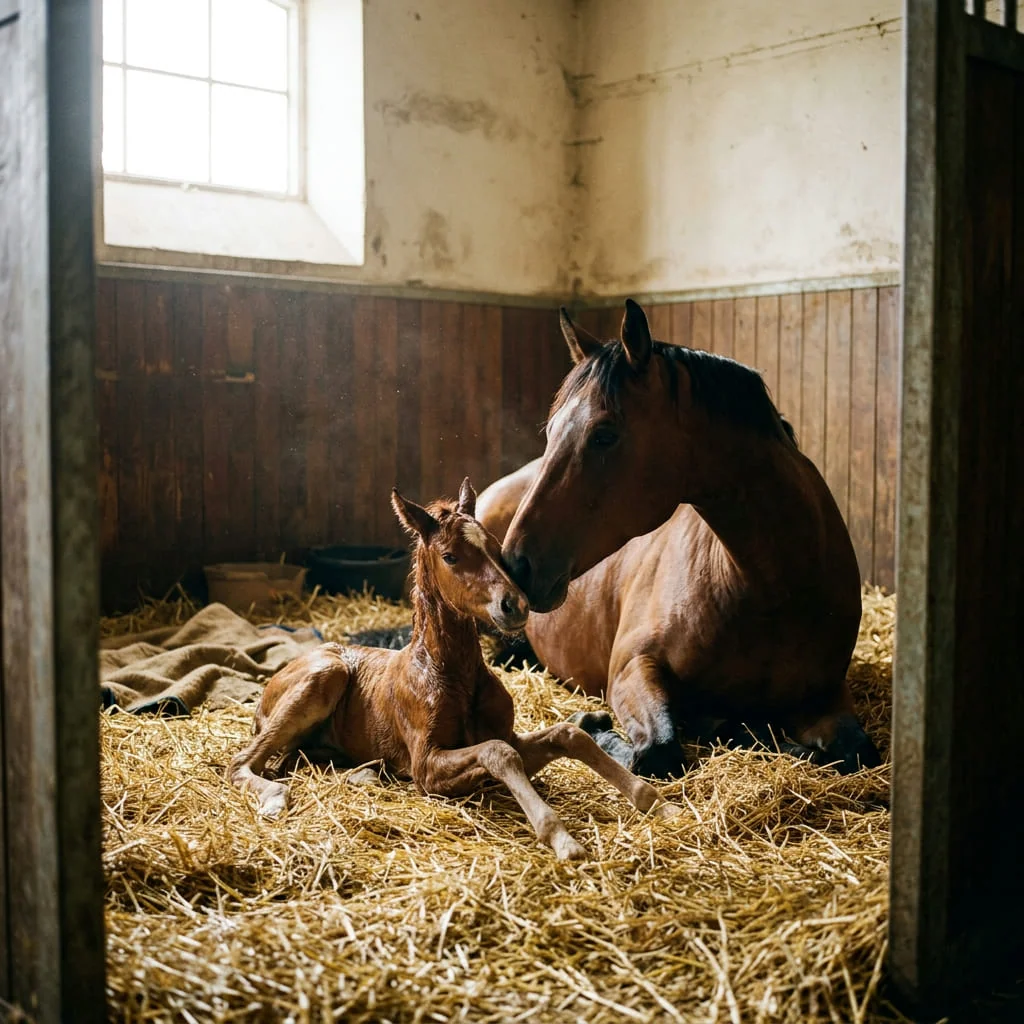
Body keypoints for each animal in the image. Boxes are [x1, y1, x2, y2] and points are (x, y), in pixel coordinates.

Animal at [228, 478, 678, 860]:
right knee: (241, 763)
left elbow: (568, 734)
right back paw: (276, 798)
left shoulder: (507, 736)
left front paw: (658, 804)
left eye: (496, 549)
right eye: (450, 556)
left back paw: (366, 774)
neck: (452, 675)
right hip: (326, 674)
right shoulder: (427, 766)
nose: (515, 605)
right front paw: (561, 837)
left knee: (297, 757)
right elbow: (498, 754)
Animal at [476, 300, 881, 779]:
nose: (515, 565)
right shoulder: (633, 666)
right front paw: (590, 723)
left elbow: (853, 751)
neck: (768, 587)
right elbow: (658, 750)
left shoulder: (826, 693)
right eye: (552, 430)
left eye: (604, 434)